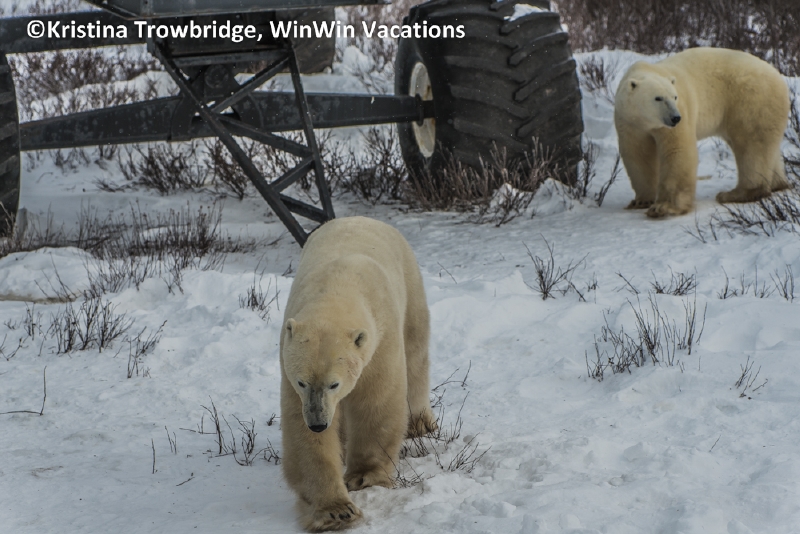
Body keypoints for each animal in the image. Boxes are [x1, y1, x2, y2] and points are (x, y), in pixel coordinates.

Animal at [279, 216, 437, 532]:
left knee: (416, 351)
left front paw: (364, 477)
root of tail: (359, 217)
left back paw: (419, 422)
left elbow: (375, 402)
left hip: (410, 282)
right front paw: (336, 512)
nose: (318, 423)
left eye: (334, 383)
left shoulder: (379, 341)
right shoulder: (288, 361)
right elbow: (300, 431)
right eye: (302, 382)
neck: (336, 290)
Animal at [614, 47, 790, 217]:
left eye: (674, 97)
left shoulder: (680, 113)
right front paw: (642, 201)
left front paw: (663, 207)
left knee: (751, 145)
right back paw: (777, 183)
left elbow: (677, 151)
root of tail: (778, 77)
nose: (675, 118)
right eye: (658, 98)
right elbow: (638, 155)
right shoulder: (629, 121)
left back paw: (736, 193)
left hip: (751, 99)